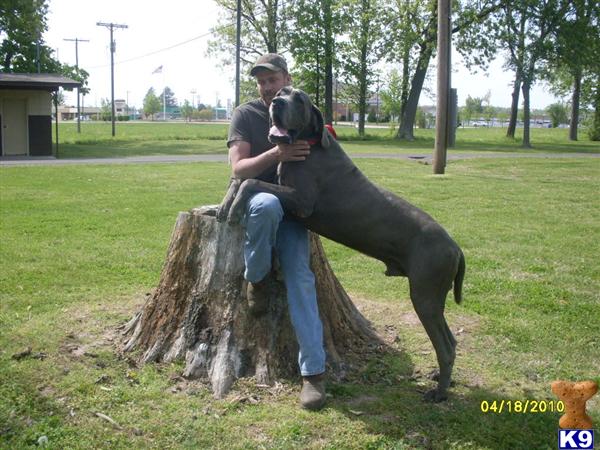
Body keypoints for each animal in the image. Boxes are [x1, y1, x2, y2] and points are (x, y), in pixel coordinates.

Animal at [218, 87, 466, 400]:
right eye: (282, 93)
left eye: (299, 99)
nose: (276, 102)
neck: (308, 144)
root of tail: (455, 246)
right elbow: (241, 179)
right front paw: (226, 203)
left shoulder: (302, 202)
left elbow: (252, 183)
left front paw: (235, 207)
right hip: (433, 296)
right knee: (451, 341)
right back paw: (439, 379)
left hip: (425, 294)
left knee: (445, 345)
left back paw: (439, 392)